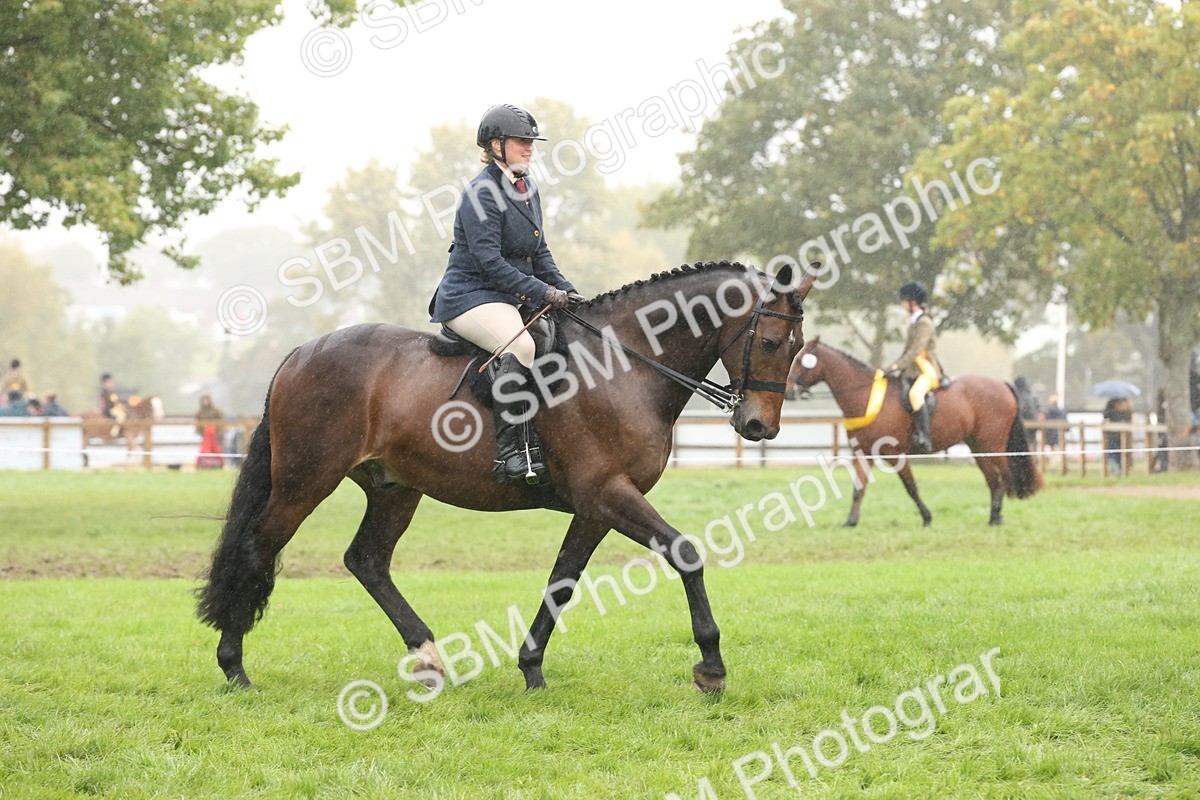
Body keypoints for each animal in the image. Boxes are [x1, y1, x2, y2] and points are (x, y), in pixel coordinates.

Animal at [196, 261, 816, 693]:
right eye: (767, 341)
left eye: (799, 347)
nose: (759, 426)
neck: (625, 366)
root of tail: (301, 352)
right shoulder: (608, 494)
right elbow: (685, 554)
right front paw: (711, 666)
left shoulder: (596, 507)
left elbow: (562, 581)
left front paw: (531, 668)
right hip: (305, 482)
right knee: (257, 549)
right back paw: (235, 669)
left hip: (394, 488)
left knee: (366, 560)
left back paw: (428, 658)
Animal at [786, 337, 1043, 526]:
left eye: (800, 361)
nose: (787, 392)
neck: (865, 396)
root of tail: (1002, 385)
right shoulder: (863, 453)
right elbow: (858, 488)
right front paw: (850, 522)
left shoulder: (894, 454)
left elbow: (910, 486)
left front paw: (927, 518)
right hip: (978, 447)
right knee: (993, 480)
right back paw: (993, 517)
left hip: (992, 445)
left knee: (1005, 476)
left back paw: (999, 518)